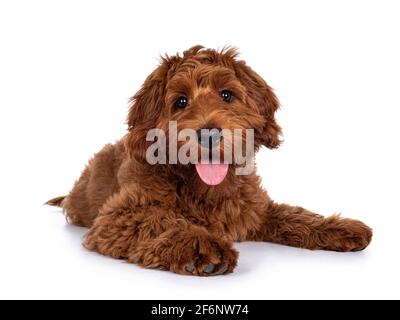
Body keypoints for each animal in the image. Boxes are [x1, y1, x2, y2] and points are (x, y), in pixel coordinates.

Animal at [47, 45, 372, 276]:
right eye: (180, 102)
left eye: (227, 95)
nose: (209, 133)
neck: (204, 191)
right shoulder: (118, 216)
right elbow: (160, 220)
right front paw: (200, 247)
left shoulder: (256, 210)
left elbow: (294, 215)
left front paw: (338, 228)